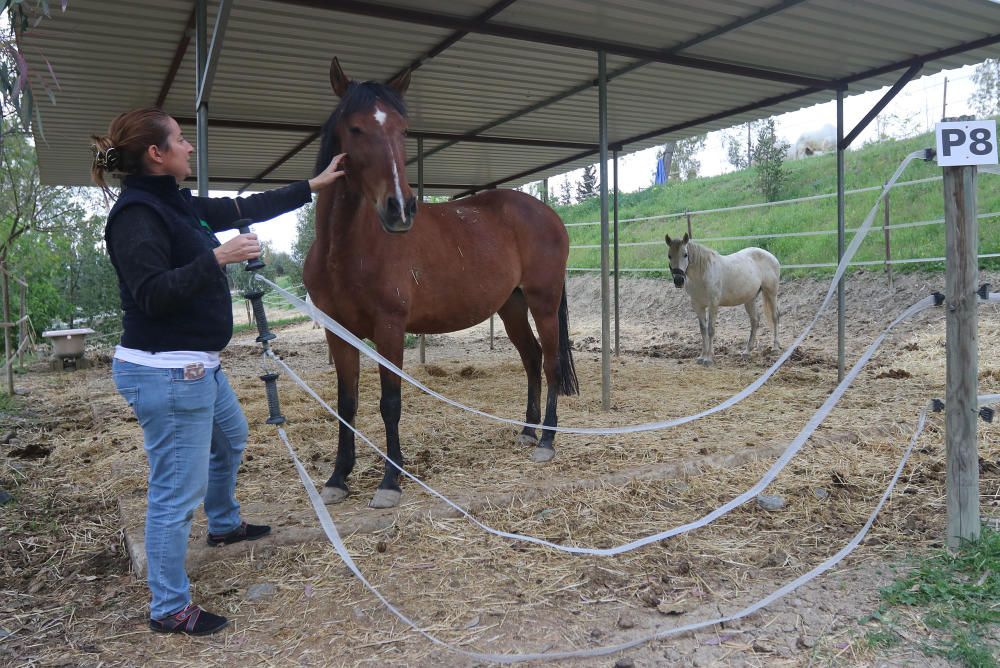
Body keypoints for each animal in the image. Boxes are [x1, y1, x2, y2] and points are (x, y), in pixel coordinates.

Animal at [300, 58, 580, 512]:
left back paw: (547, 441)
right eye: (355, 128)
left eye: (402, 129)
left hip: (543, 302)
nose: (400, 208)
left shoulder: (390, 328)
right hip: (512, 306)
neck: (344, 248)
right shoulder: (337, 332)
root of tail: (547, 213)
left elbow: (390, 402)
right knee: (532, 358)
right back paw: (527, 431)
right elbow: (347, 403)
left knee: (552, 360)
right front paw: (338, 478)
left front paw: (390, 481)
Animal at [664, 231, 780, 366]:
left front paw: (708, 359)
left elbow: (710, 329)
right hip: (749, 299)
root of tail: (771, 256)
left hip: (771, 293)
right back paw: (747, 351)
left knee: (774, 317)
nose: (678, 280)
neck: (702, 274)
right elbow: (703, 330)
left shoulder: (713, 304)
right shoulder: (698, 306)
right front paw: (702, 356)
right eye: (669, 256)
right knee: (755, 320)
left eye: (685, 254)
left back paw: (775, 347)